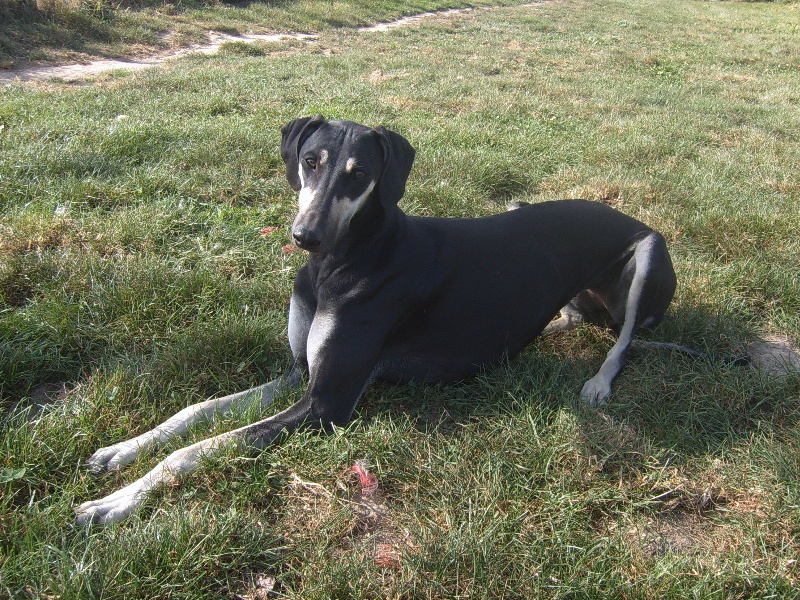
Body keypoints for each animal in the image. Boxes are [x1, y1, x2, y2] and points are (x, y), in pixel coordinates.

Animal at [75, 116, 676, 524]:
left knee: (622, 342)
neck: (342, 262)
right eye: (311, 161)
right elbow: (195, 412)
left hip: (649, 250)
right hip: (528, 215)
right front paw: (121, 451)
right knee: (570, 319)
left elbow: (198, 449)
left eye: (359, 173)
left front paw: (115, 502)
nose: (306, 237)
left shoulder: (326, 404)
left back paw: (598, 381)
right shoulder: (301, 374)